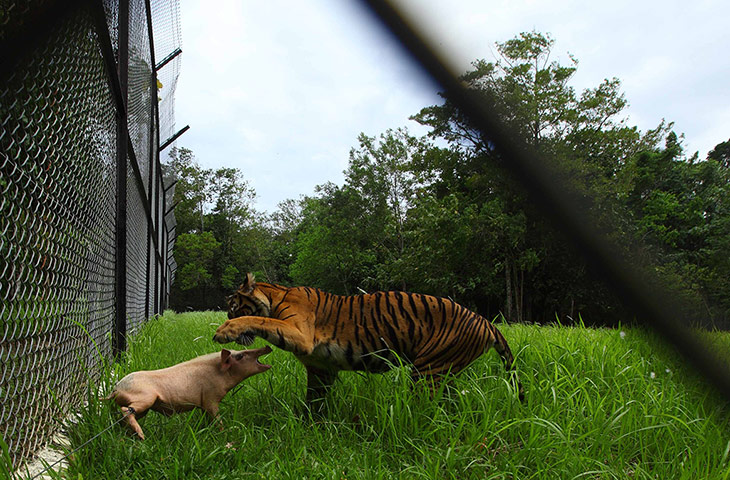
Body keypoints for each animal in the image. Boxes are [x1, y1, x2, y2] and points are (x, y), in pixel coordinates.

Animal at [107, 346, 272, 439]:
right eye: (240, 356)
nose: (267, 347)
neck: (219, 375)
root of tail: (116, 389)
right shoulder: (210, 398)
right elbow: (216, 417)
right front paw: (225, 432)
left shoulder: (204, 404)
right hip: (145, 398)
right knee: (125, 410)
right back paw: (142, 436)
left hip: (145, 408)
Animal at [213, 273, 525, 406]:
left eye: (232, 306)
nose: (225, 313)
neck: (275, 295)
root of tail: (486, 322)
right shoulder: (321, 370)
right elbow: (314, 401)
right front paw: (309, 426)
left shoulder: (301, 334)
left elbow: (263, 321)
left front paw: (224, 330)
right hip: (443, 373)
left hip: (428, 371)